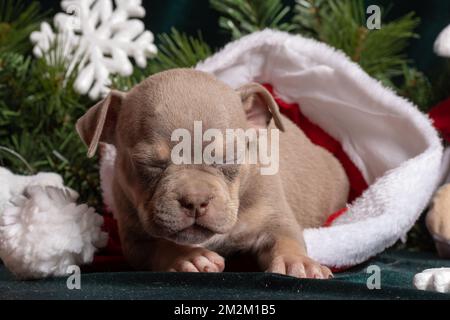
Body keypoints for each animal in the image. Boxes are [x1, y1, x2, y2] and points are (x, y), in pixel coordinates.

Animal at [76, 69, 348, 278]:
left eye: (229, 158)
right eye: (150, 164)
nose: (195, 201)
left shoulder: (274, 218)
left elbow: (286, 238)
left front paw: (298, 263)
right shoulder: (136, 240)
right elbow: (162, 245)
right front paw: (189, 256)